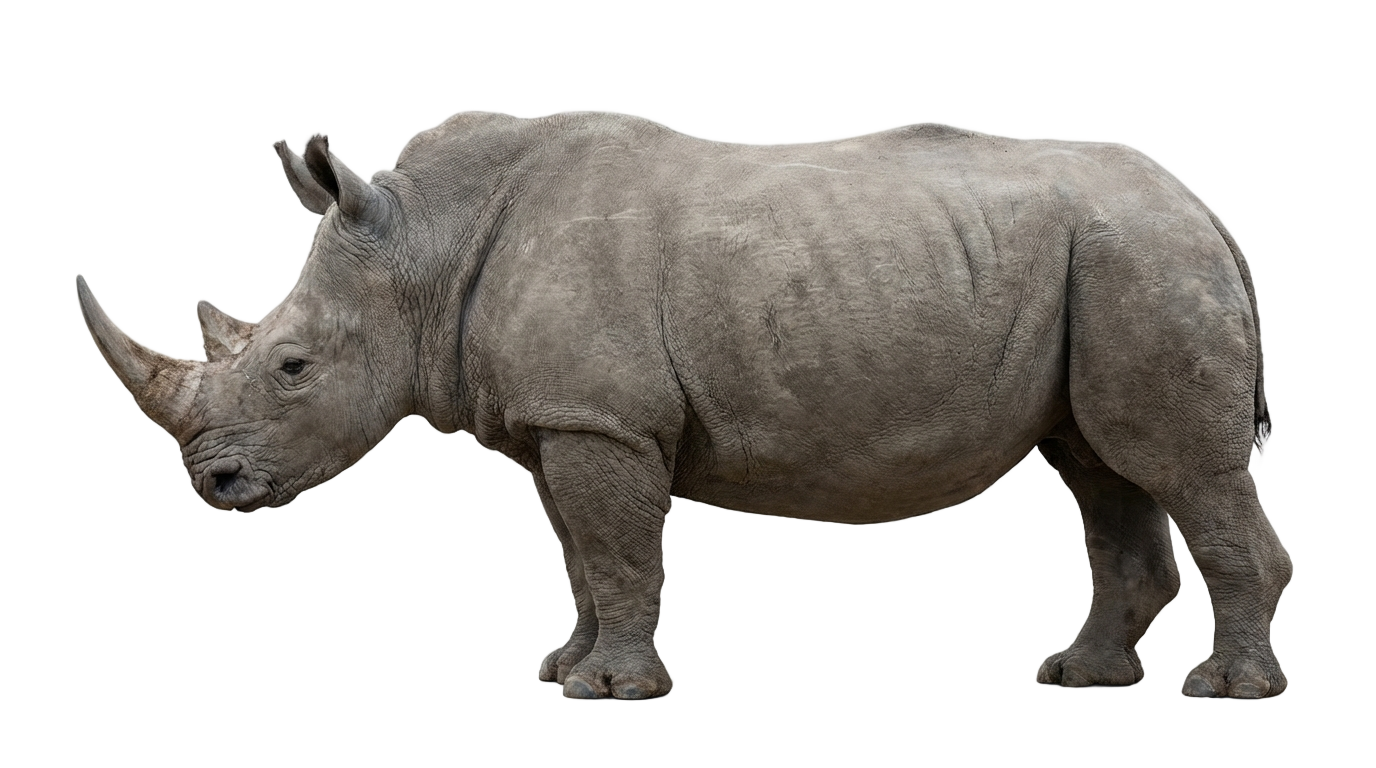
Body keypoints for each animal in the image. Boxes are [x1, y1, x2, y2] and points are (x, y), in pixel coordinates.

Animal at [75, 110, 1291, 700]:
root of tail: (1200, 205)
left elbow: (615, 550)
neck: (424, 245)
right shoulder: (564, 417)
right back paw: (1085, 681)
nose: (211, 482)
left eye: (290, 367)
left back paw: (1229, 696)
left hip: (1144, 258)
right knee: (1102, 476)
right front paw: (562, 676)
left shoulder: (599, 417)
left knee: (1179, 472)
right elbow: (576, 553)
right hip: (1116, 260)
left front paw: (613, 694)